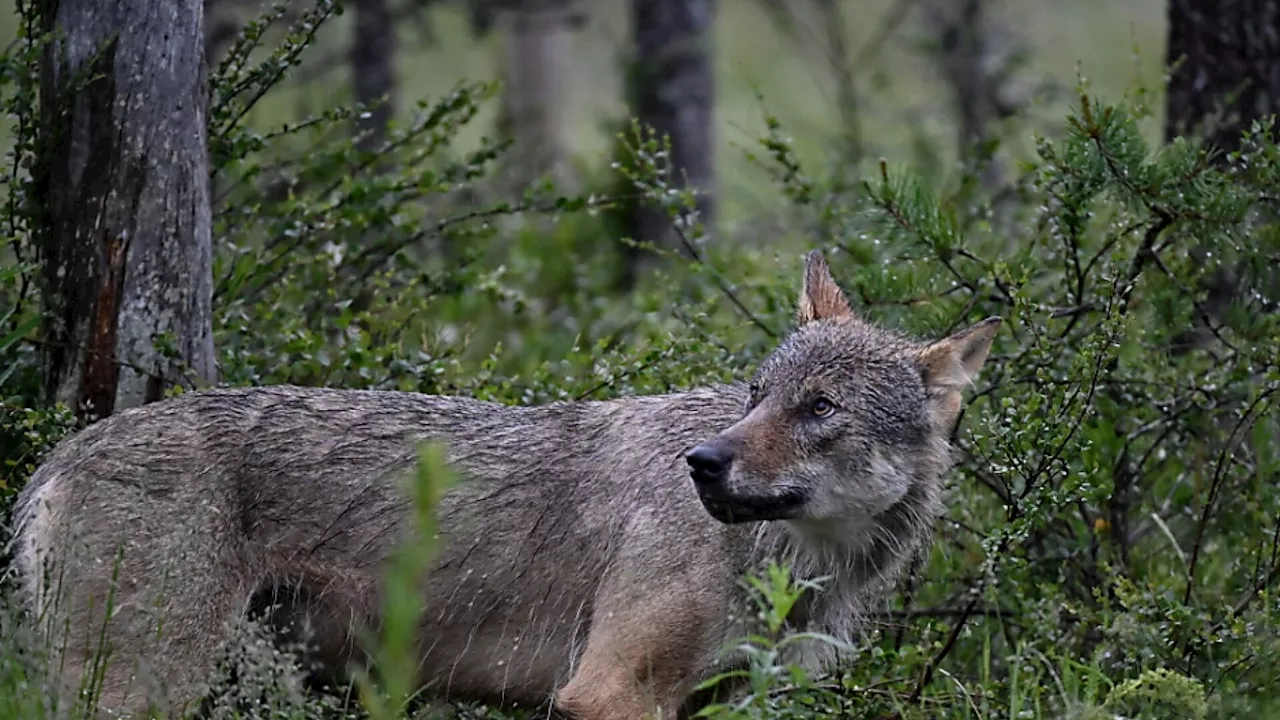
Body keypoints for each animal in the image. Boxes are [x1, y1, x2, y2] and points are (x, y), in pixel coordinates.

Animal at [10, 249, 998, 712]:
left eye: (819, 409)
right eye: (757, 397)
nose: (703, 463)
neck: (795, 565)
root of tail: (63, 454)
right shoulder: (608, 694)